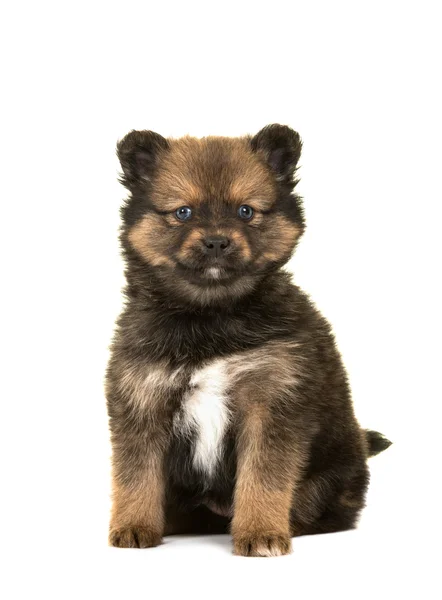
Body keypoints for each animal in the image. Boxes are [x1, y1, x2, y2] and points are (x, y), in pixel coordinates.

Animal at [106, 125, 390, 556]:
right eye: (183, 212)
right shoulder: (143, 399)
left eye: (246, 211)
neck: (210, 315)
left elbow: (264, 478)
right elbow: (136, 474)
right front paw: (135, 525)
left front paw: (261, 532)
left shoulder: (271, 402)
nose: (216, 242)